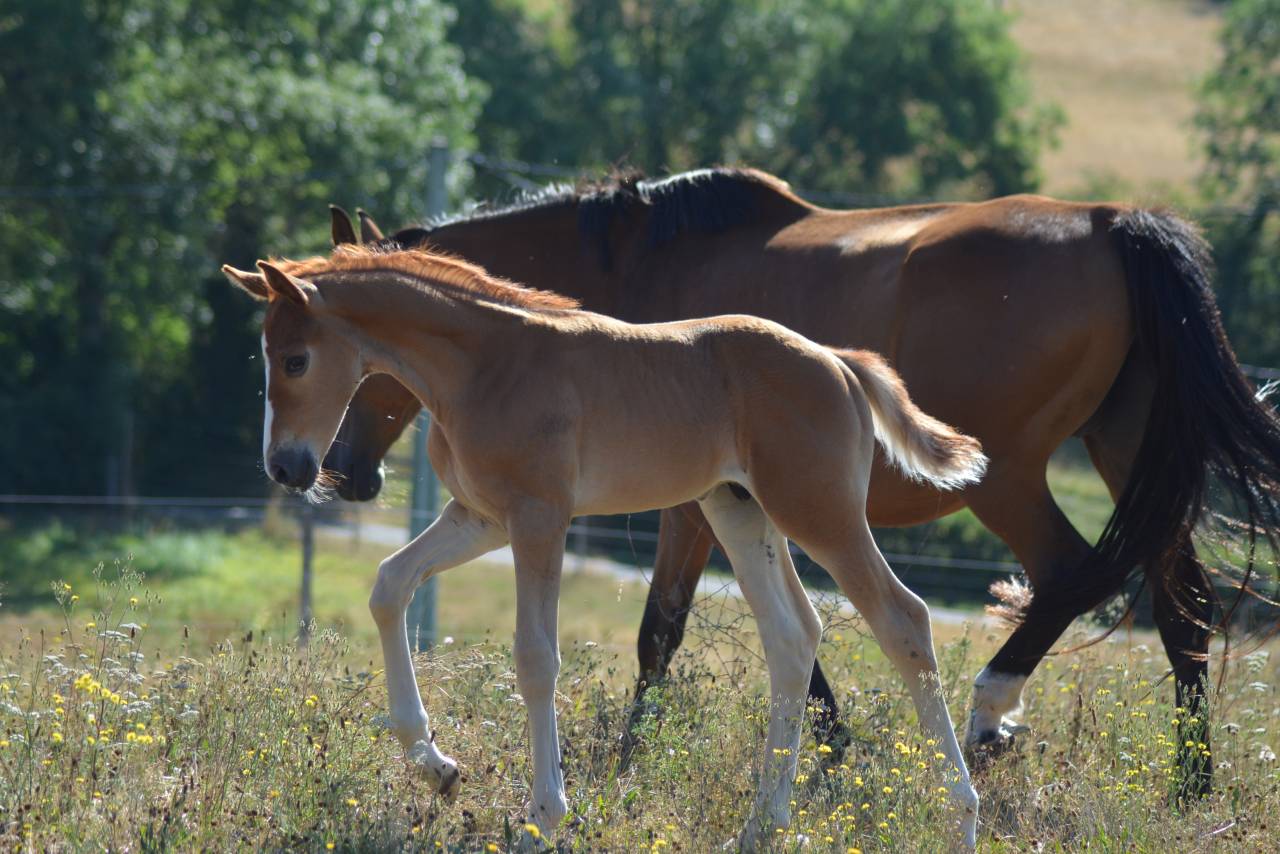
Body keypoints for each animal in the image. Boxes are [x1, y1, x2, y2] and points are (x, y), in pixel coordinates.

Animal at [222, 246, 988, 849]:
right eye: (263, 356)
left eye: (296, 360)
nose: (286, 468)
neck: (483, 365)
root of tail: (839, 361)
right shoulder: (480, 517)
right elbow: (389, 585)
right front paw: (436, 766)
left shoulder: (539, 518)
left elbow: (536, 658)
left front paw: (544, 815)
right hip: (739, 511)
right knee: (794, 635)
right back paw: (762, 824)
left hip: (819, 511)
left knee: (903, 620)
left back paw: (960, 816)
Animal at [323, 168, 1280, 794]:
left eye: (351, 357)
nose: (337, 469)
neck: (624, 279)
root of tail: (1115, 221)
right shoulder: (740, 504)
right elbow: (791, 638)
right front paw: (828, 747)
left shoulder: (689, 506)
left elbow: (661, 632)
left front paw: (631, 759)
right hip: (1127, 454)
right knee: (1183, 603)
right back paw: (1191, 781)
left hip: (1004, 478)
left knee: (1072, 573)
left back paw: (990, 712)